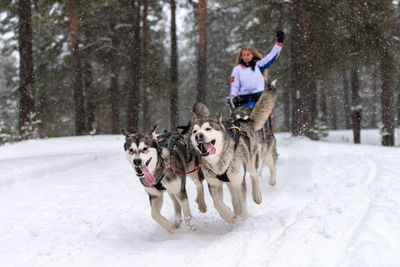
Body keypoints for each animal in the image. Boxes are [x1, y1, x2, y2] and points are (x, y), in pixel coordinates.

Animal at [188, 84, 276, 224]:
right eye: (195, 131)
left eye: (208, 129)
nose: (198, 136)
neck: (218, 161)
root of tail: (244, 120)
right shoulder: (214, 184)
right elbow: (217, 203)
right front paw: (229, 216)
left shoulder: (239, 182)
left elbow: (243, 203)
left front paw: (244, 221)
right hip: (231, 181)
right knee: (234, 198)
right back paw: (235, 211)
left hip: (253, 161)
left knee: (255, 175)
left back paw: (257, 195)